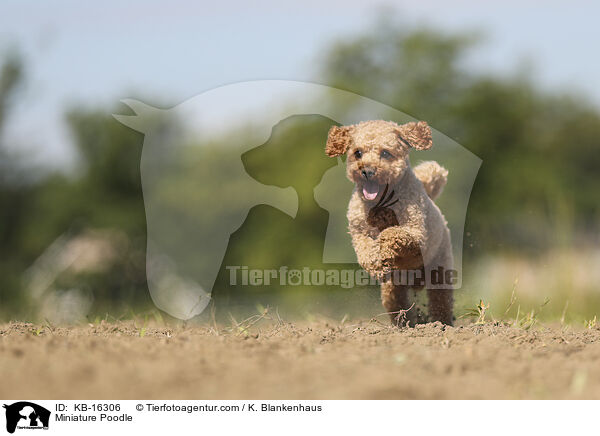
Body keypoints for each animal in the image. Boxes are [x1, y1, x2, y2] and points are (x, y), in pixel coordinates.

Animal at [326, 121, 452, 326]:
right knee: (398, 303)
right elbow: (365, 248)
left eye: (385, 153)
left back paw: (441, 325)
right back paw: (404, 325)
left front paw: (383, 250)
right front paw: (376, 264)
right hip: (392, 289)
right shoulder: (358, 231)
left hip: (440, 270)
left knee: (441, 301)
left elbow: (392, 233)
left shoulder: (417, 232)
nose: (367, 171)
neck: (381, 203)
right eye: (358, 153)